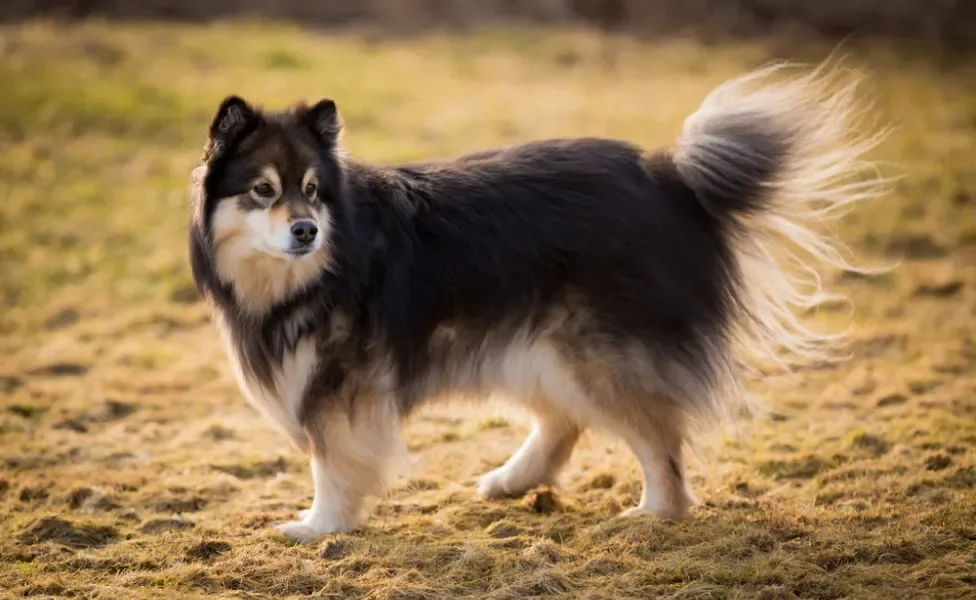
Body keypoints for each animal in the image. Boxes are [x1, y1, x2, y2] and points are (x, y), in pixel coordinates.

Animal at [187, 63, 888, 540]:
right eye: (262, 190)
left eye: (311, 190)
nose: (306, 230)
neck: (319, 266)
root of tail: (669, 177)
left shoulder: (338, 385)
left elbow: (331, 461)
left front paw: (320, 525)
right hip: (532, 341)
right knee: (564, 420)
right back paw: (513, 479)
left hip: (591, 351)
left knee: (656, 435)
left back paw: (655, 512)